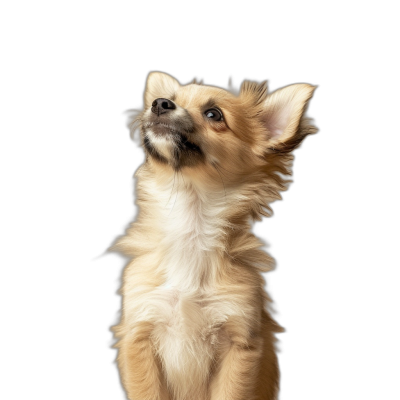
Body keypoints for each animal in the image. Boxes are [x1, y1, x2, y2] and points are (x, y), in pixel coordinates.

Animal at [108, 72, 318, 400]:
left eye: (214, 114)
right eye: (168, 99)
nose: (159, 103)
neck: (191, 224)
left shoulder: (239, 342)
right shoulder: (140, 332)